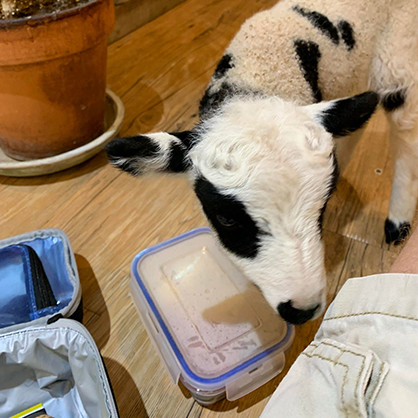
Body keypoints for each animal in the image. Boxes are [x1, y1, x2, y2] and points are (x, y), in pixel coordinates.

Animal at [105, 0, 418, 324]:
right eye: (227, 219)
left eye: (322, 208)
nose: (302, 311)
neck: (260, 76)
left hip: (398, 54)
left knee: (406, 132)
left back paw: (398, 221)